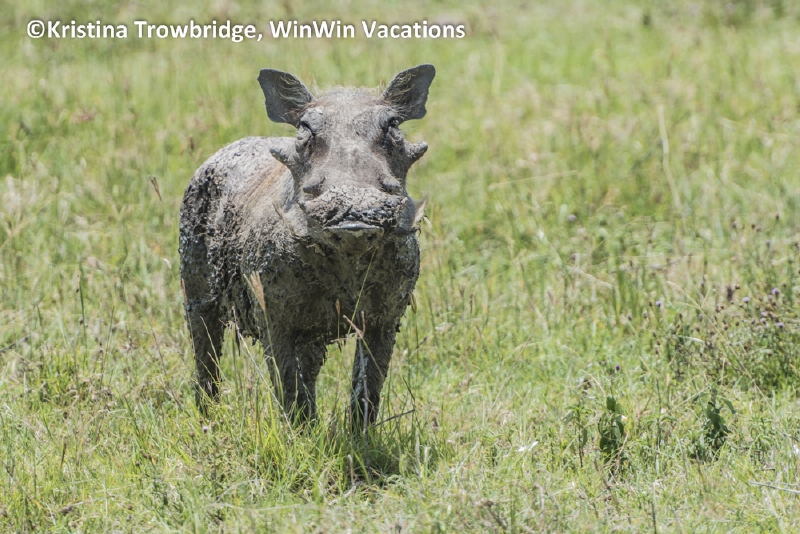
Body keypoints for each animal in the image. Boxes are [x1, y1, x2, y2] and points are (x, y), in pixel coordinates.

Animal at [179, 65, 435, 428]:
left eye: (393, 125)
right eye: (305, 129)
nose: (354, 218)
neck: (347, 265)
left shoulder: (384, 319)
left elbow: (368, 384)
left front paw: (359, 437)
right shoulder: (275, 319)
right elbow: (289, 384)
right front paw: (301, 435)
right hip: (197, 296)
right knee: (206, 361)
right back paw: (209, 418)